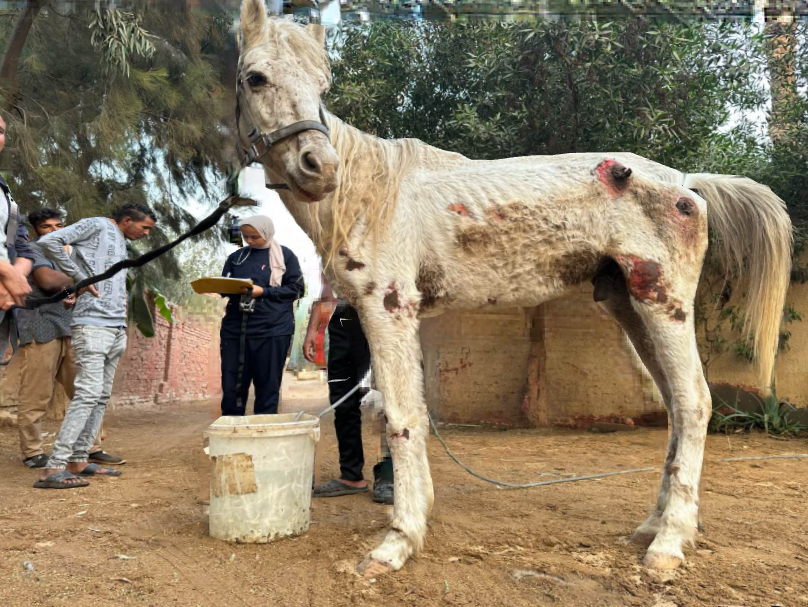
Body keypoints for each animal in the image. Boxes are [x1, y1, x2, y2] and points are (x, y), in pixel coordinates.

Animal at [237, 0, 792, 580]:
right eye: (256, 78)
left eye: (323, 85)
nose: (319, 168)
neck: (370, 193)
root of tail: (687, 181)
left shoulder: (386, 310)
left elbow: (403, 419)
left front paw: (398, 541)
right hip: (631, 307)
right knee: (674, 408)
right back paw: (650, 527)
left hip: (664, 305)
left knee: (693, 403)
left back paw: (669, 542)